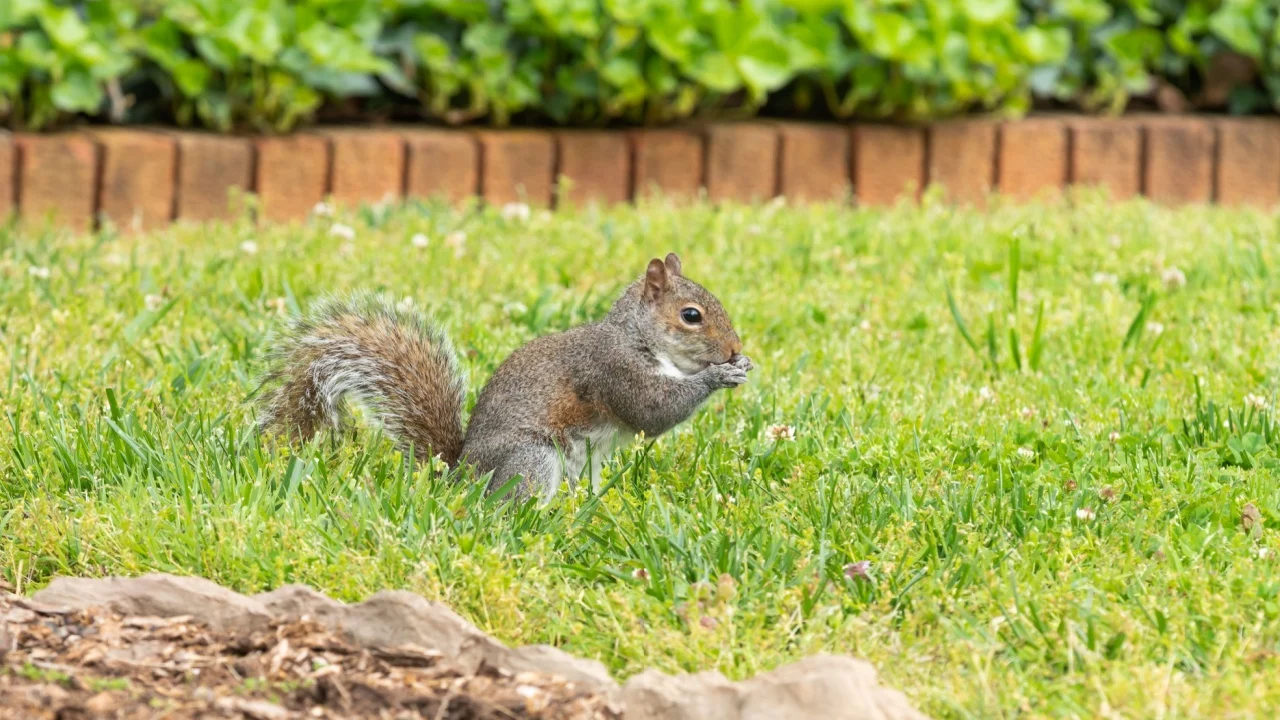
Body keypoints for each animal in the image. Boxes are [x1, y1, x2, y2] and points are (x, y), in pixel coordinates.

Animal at [255, 253, 754, 502]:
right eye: (691, 316)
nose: (734, 349)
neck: (637, 338)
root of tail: (459, 476)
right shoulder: (613, 370)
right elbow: (653, 411)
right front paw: (718, 377)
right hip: (532, 458)